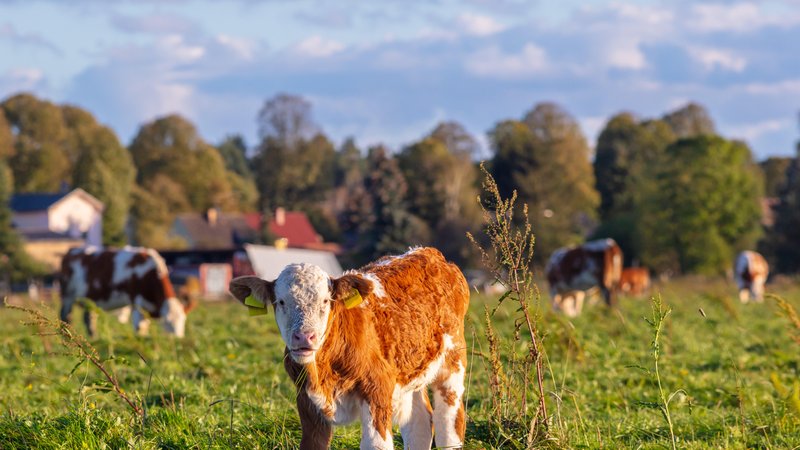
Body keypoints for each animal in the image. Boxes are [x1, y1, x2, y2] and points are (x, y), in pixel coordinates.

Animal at [60, 246, 196, 337]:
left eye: (183, 321)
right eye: (168, 323)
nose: (178, 339)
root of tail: (73, 250)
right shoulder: (136, 302)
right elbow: (139, 328)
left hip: (90, 299)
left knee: (88, 318)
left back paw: (93, 337)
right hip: (67, 296)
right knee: (66, 317)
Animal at [228, 247, 469, 450]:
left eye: (326, 301)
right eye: (280, 302)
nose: (304, 336)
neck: (324, 373)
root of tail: (429, 252)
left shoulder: (377, 391)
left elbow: (376, 445)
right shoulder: (307, 402)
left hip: (453, 363)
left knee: (448, 423)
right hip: (411, 373)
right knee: (419, 424)